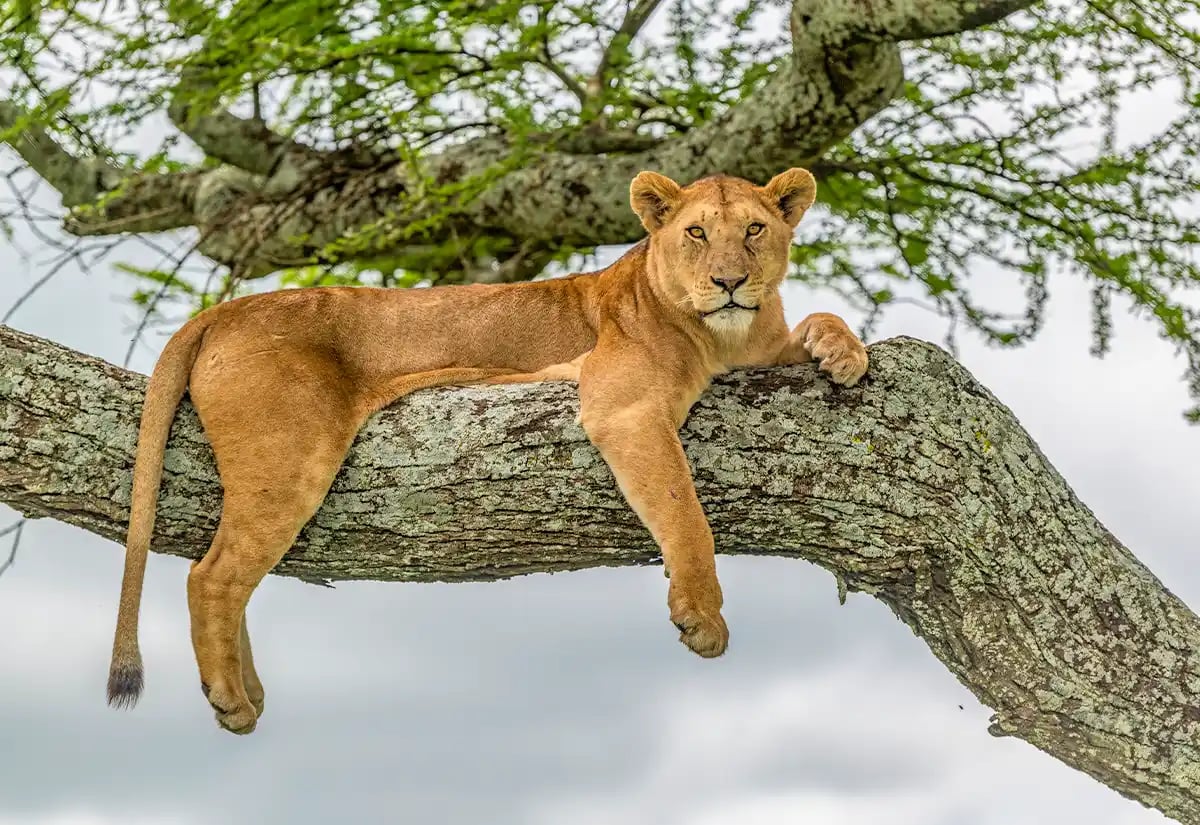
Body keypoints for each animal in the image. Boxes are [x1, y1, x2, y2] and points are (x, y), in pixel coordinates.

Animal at [106, 166, 869, 734]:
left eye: (755, 229)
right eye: (697, 233)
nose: (730, 282)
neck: (724, 337)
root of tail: (223, 309)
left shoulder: (759, 350)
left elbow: (819, 316)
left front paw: (845, 352)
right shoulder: (622, 407)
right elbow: (685, 512)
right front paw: (702, 617)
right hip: (288, 458)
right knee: (212, 575)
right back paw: (232, 698)